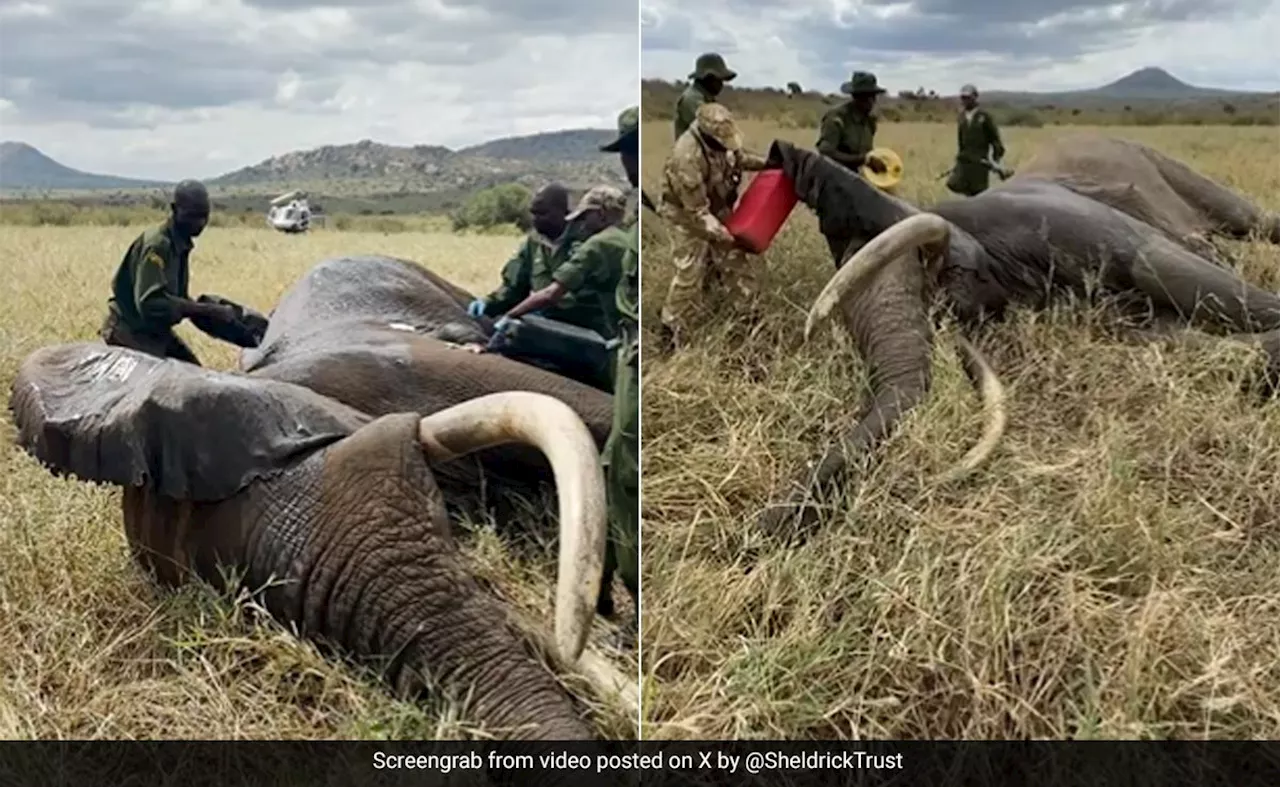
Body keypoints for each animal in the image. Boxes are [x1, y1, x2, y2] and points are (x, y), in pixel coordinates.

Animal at [757, 138, 1280, 540]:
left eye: (935, 276)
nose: (766, 525)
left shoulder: (1068, 224)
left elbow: (1169, 270)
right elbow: (1159, 338)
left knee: (1251, 222)